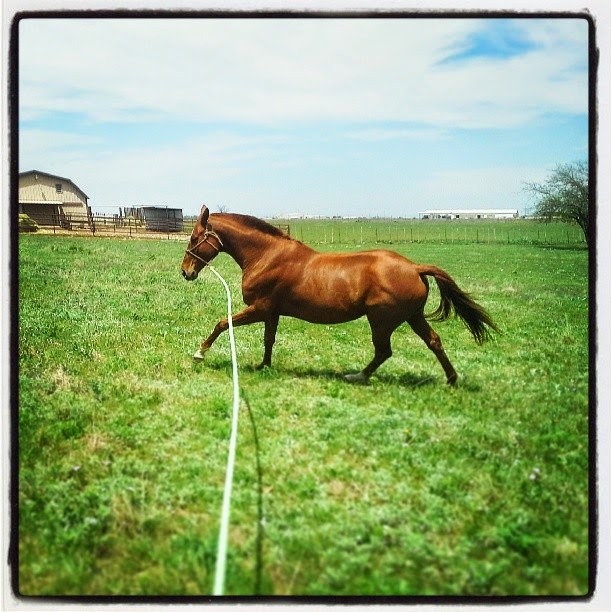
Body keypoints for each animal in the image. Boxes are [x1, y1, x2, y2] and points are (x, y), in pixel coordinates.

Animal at [181, 205, 498, 384]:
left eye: (195, 238)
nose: (186, 272)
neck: (267, 255)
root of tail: (414, 267)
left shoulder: (260, 308)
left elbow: (223, 323)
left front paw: (199, 353)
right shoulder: (272, 312)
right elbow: (268, 340)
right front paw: (264, 366)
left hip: (382, 320)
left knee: (384, 351)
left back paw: (358, 376)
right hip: (412, 316)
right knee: (433, 341)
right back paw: (451, 379)